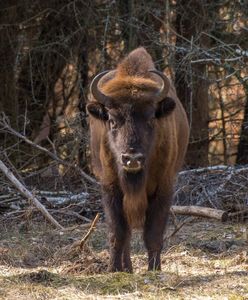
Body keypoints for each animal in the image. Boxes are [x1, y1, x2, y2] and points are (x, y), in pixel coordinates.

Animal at [86, 47, 188, 272]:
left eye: (150, 118)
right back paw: (127, 268)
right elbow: (118, 233)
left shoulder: (164, 187)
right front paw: (114, 269)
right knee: (126, 235)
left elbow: (153, 235)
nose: (132, 158)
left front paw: (154, 269)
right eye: (112, 120)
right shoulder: (111, 187)